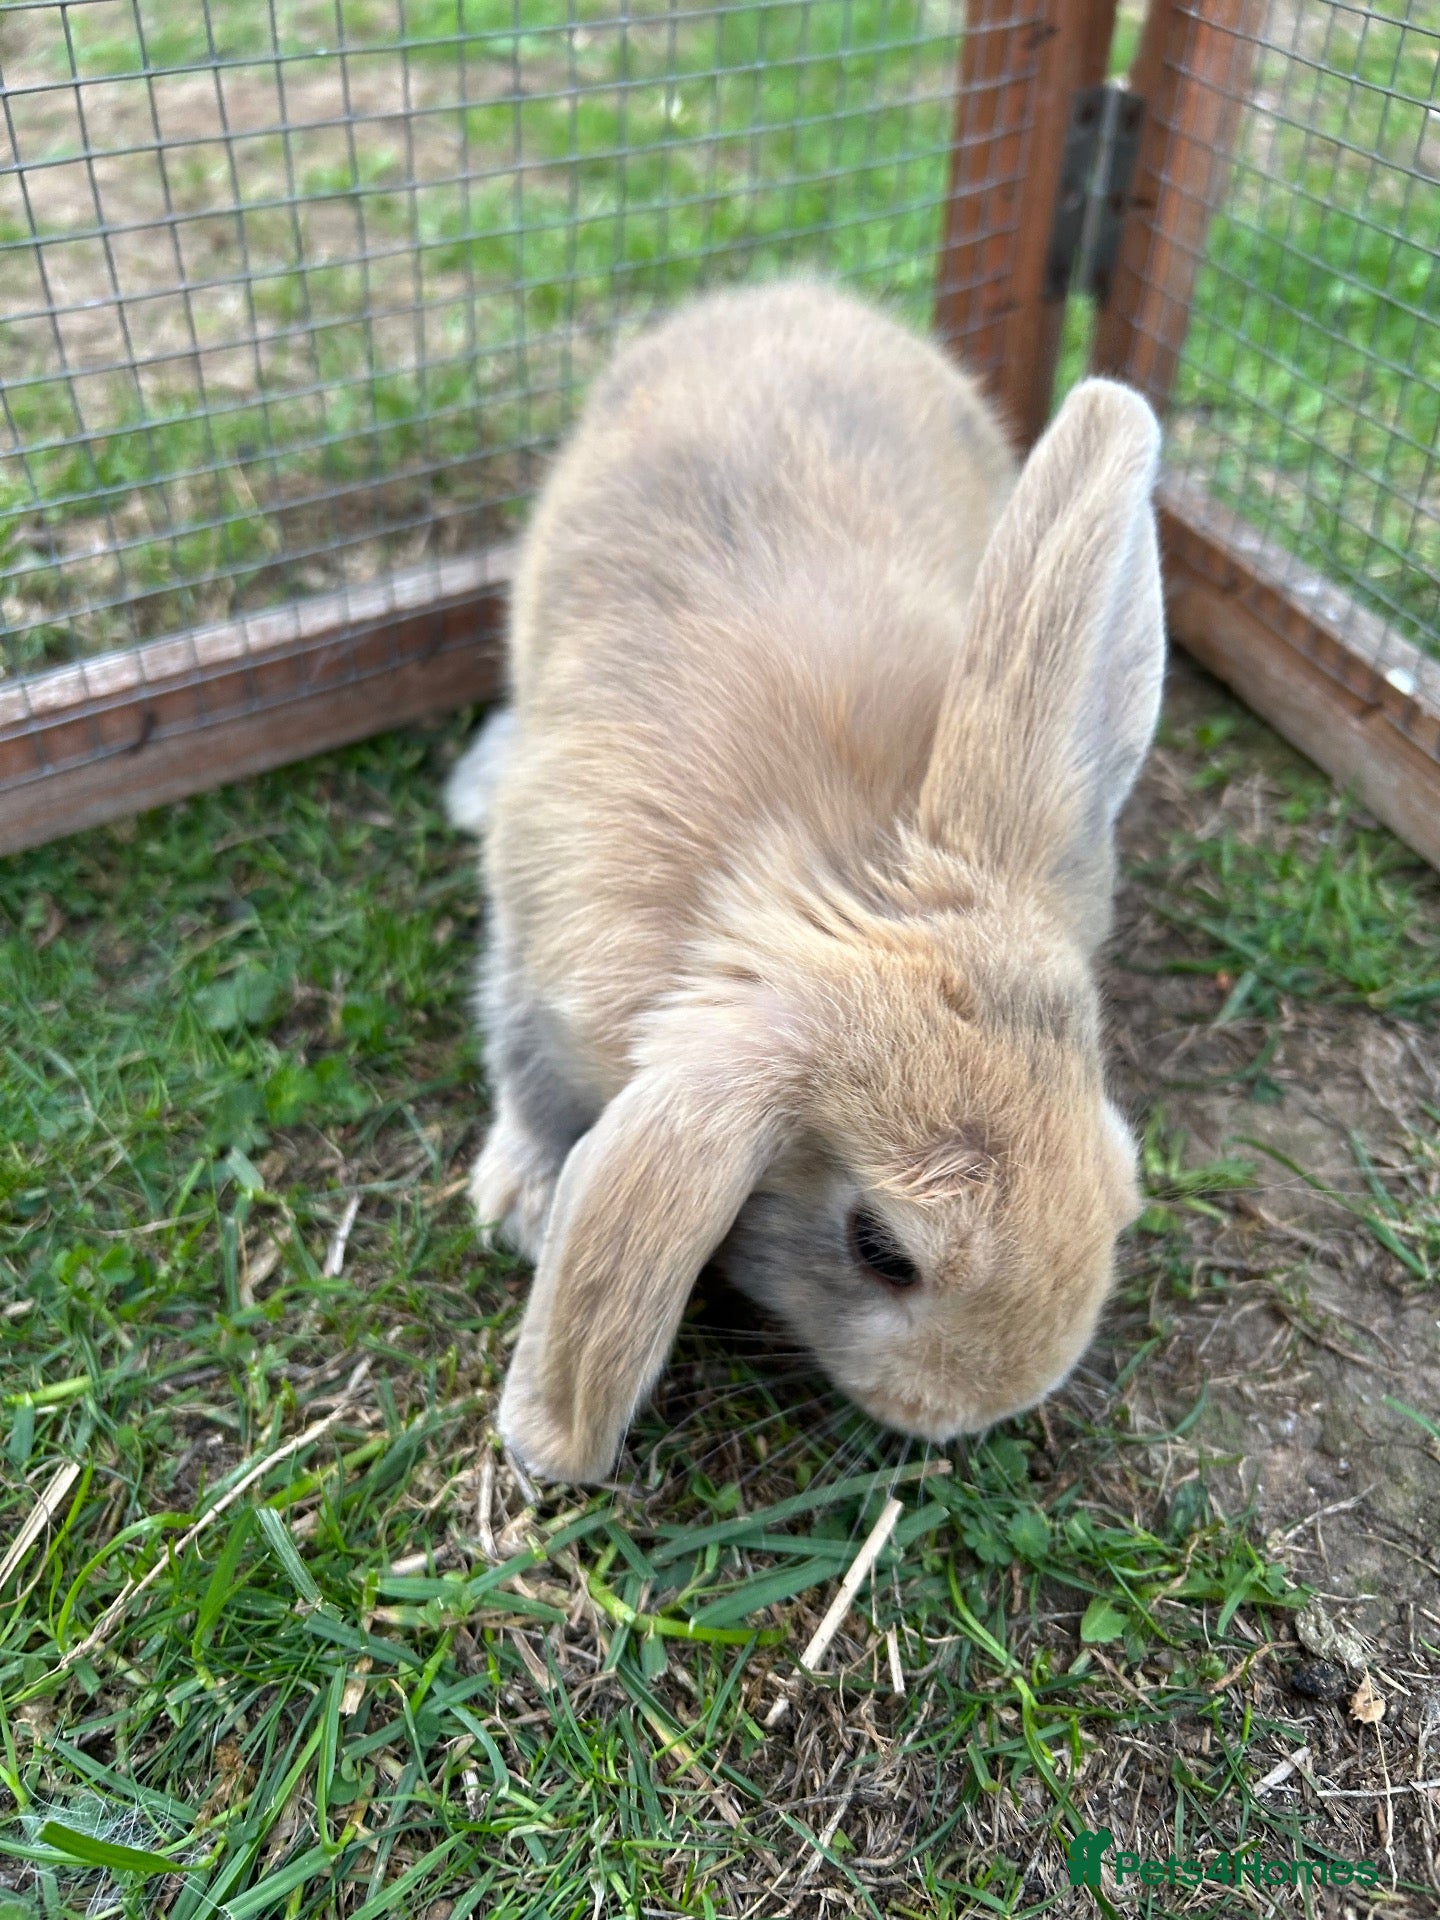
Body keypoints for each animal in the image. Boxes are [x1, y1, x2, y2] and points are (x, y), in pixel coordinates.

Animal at [446, 279, 1165, 1485]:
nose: (986, 1406)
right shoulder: (533, 957)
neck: (830, 871)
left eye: (1118, 1178)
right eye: (882, 1250)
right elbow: (526, 1075)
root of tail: (790, 293)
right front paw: (527, 1205)